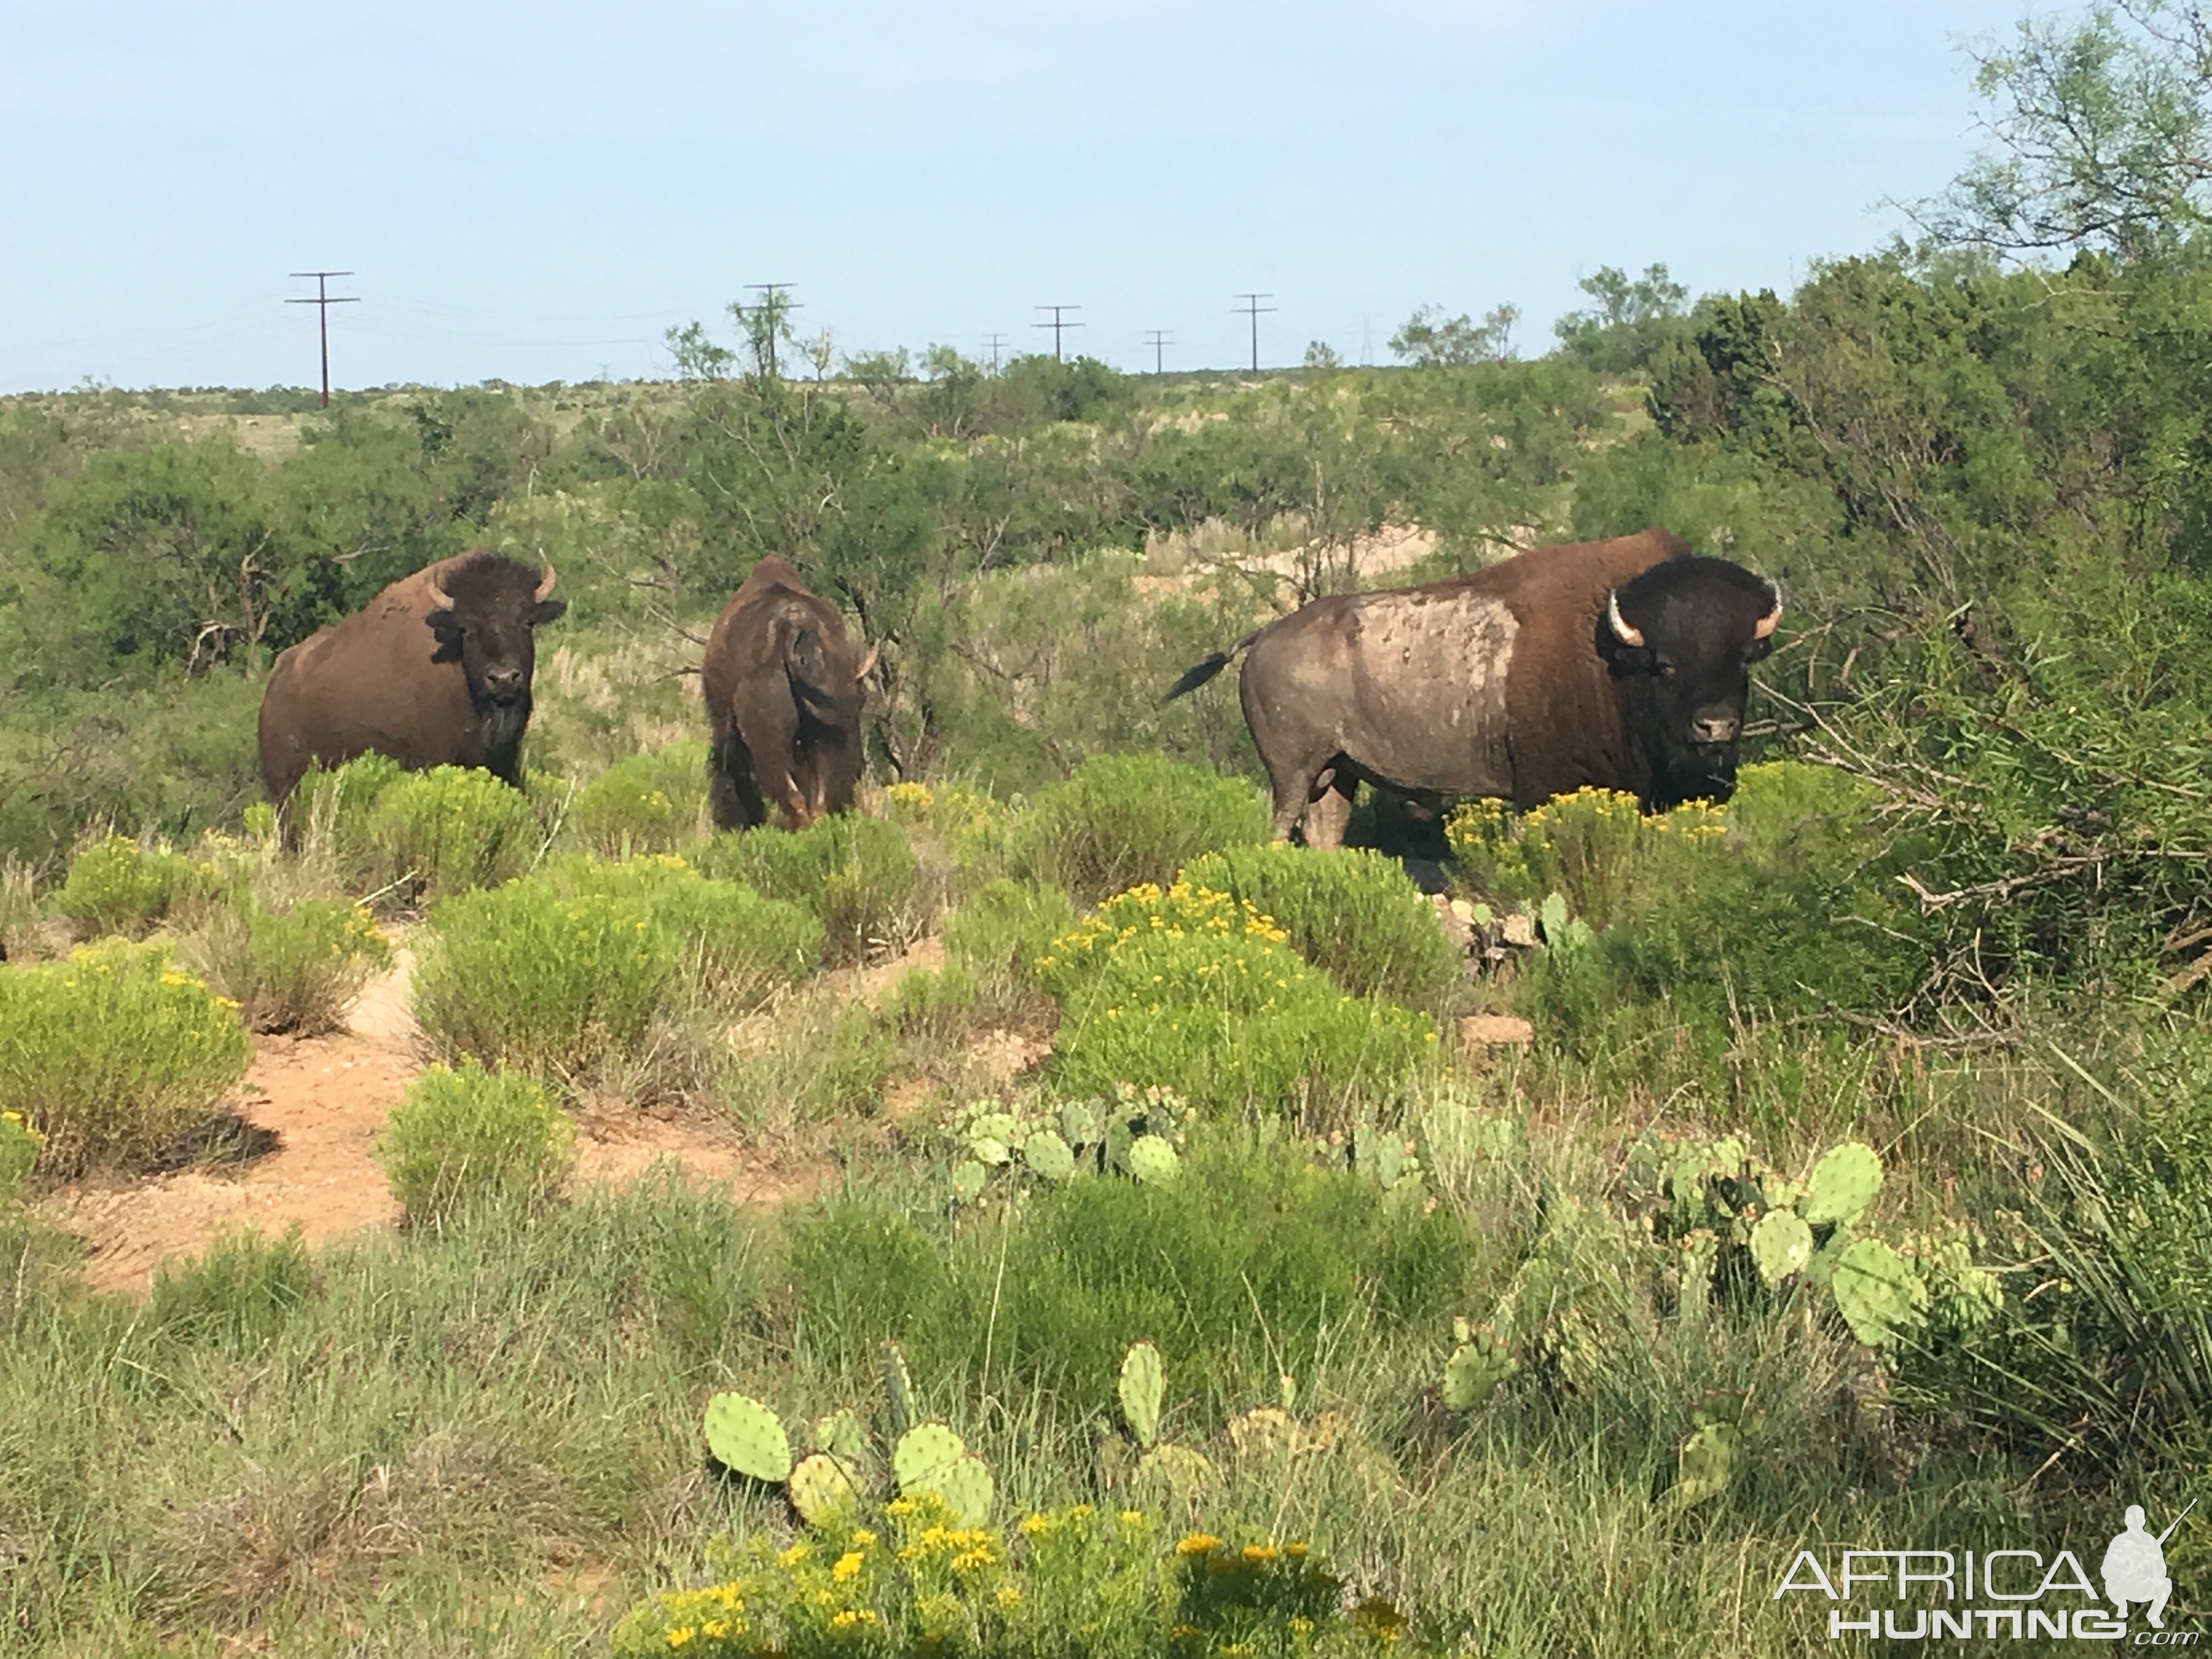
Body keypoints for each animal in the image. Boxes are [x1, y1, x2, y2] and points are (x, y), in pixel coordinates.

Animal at [1167, 528, 1787, 849]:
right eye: (1665, 665)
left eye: (1743, 659)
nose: (1715, 726)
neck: (1609, 653)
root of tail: (1265, 635)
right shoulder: (1542, 788)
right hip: (1293, 773)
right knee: (1282, 826)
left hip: (1338, 772)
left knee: (1325, 829)